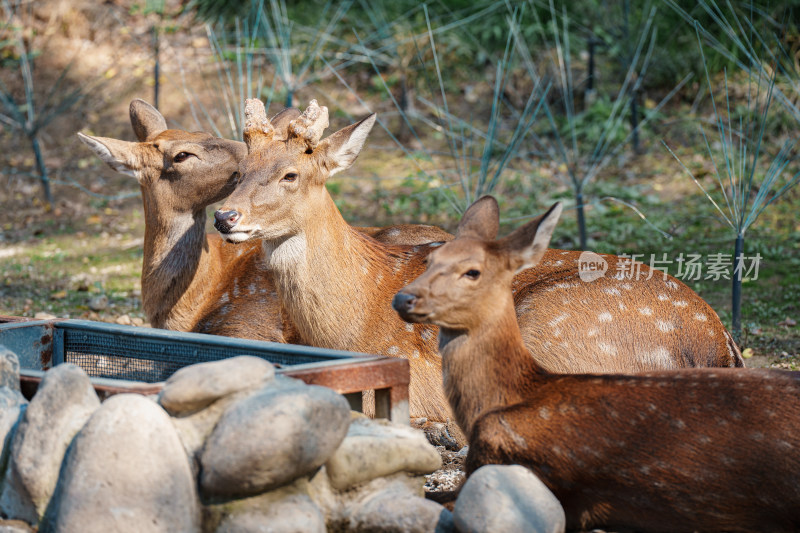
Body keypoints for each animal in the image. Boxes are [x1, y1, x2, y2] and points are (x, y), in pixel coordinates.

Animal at [214, 98, 744, 424]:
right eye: (239, 171)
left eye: (291, 174)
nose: (224, 215)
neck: (353, 321)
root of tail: (718, 346)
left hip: (557, 328)